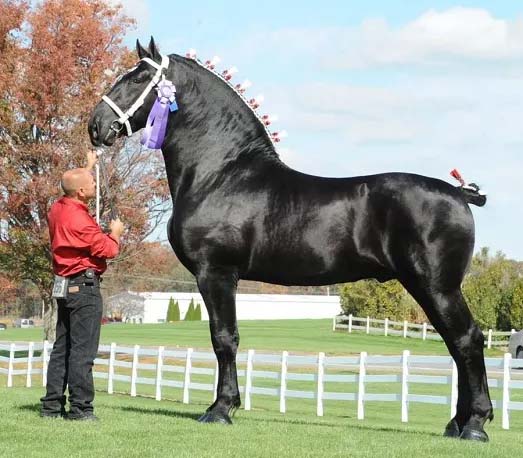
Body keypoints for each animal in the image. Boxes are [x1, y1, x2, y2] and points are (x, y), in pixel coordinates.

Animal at [88, 37, 494, 438]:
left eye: (139, 78)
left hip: (437, 286)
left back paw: (475, 424)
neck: (222, 175)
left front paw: (220, 409)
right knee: (456, 343)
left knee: (467, 339)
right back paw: (457, 423)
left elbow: (224, 338)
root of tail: (459, 194)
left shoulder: (215, 273)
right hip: (428, 287)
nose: (96, 124)